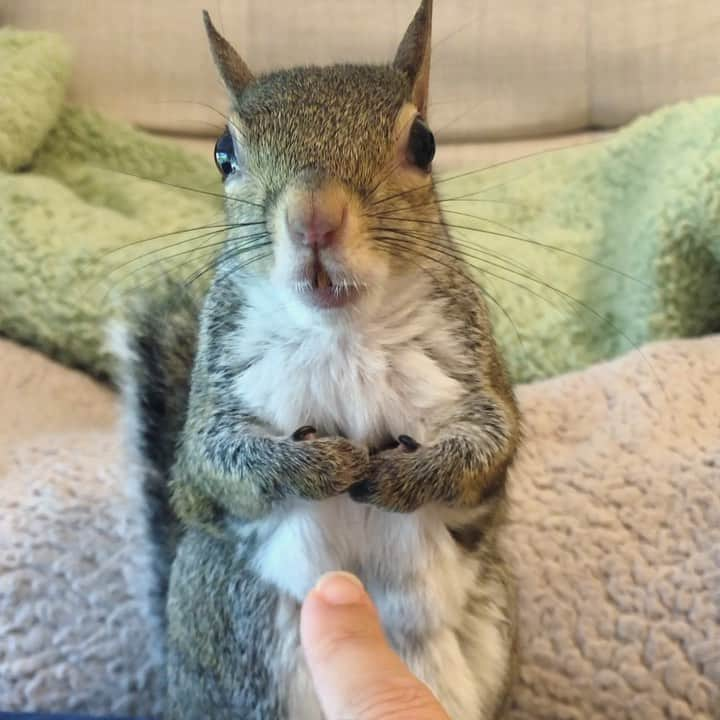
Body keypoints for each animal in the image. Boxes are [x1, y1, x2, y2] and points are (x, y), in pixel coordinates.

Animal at [112, 2, 520, 716]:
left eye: (425, 144)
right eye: (222, 153)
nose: (313, 219)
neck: (342, 333)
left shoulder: (473, 373)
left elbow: (487, 450)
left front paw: (404, 477)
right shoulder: (215, 399)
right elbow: (217, 463)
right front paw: (322, 465)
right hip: (231, 627)